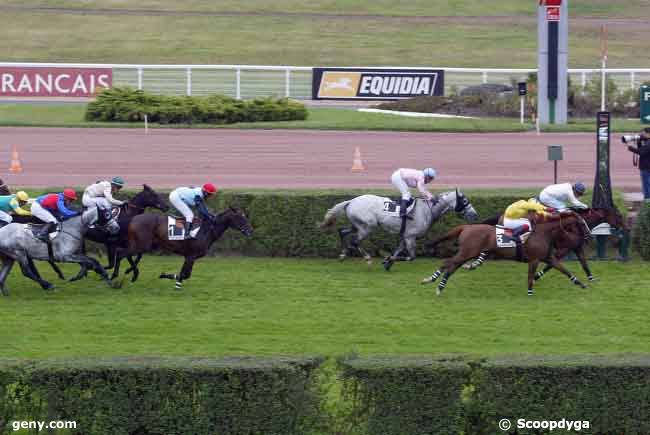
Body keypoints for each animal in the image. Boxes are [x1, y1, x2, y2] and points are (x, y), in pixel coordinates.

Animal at [111, 208, 253, 290]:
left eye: (245, 216)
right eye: (240, 217)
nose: (250, 230)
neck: (207, 230)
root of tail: (133, 218)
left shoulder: (189, 256)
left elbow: (186, 273)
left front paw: (172, 279)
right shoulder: (191, 256)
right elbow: (185, 274)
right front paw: (171, 279)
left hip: (140, 244)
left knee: (124, 253)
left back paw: (131, 273)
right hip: (142, 244)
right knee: (121, 253)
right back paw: (116, 277)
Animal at [318, 190, 476, 270]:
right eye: (465, 201)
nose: (474, 215)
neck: (427, 210)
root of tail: (351, 201)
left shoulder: (405, 236)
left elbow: (398, 250)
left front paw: (388, 262)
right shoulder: (410, 237)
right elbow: (411, 257)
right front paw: (386, 260)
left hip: (357, 225)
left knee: (343, 231)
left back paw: (343, 255)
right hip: (367, 226)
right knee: (355, 242)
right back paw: (367, 259)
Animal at [420, 213, 588, 298]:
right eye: (582, 223)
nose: (587, 236)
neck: (542, 232)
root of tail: (466, 227)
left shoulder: (548, 258)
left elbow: (565, 270)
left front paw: (581, 283)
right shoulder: (533, 260)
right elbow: (530, 276)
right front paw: (530, 292)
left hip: (466, 254)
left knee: (451, 267)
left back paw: (440, 286)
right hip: (467, 252)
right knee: (447, 263)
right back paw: (430, 280)